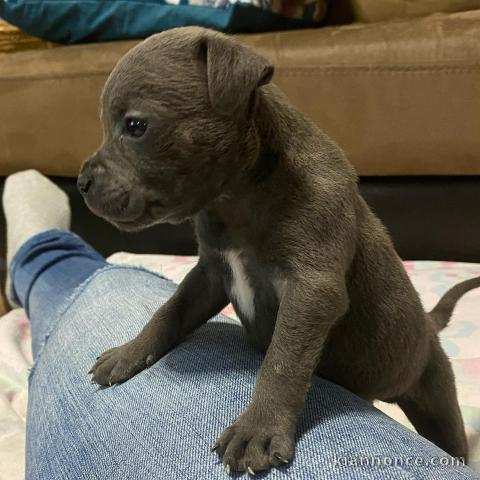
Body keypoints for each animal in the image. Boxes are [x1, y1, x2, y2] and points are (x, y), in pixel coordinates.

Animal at [77, 26, 478, 472]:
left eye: (136, 126)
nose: (81, 183)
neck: (237, 197)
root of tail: (428, 325)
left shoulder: (311, 290)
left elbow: (282, 361)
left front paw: (258, 429)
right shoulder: (211, 273)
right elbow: (170, 312)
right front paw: (130, 352)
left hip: (434, 394)